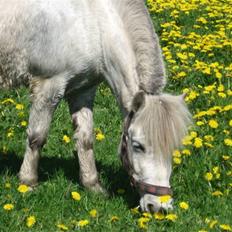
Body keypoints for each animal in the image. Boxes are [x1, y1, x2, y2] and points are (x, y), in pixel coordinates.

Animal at [0, 0, 191, 212]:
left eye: (173, 147)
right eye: (137, 146)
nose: (159, 207)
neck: (94, 23)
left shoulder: (83, 90)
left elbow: (85, 139)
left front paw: (92, 185)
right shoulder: (48, 86)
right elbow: (36, 138)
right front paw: (28, 182)